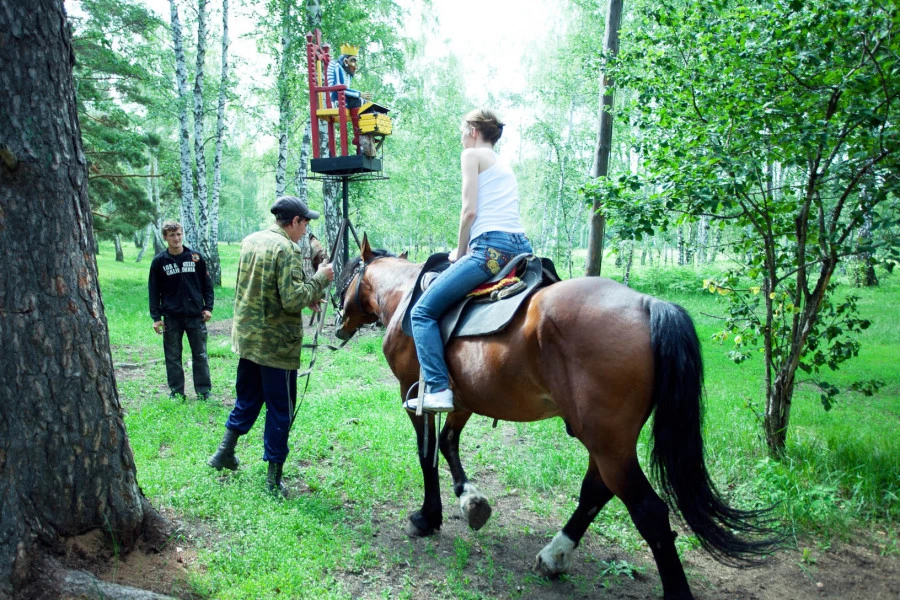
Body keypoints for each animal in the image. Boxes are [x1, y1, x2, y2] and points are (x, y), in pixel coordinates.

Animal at [334, 237, 776, 596]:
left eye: (346, 272)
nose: (338, 323)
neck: (405, 296)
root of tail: (649, 304)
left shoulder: (414, 392)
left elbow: (426, 454)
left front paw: (427, 517)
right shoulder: (463, 400)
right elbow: (447, 444)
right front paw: (470, 500)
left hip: (607, 442)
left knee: (648, 511)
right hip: (608, 441)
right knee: (596, 491)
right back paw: (555, 555)